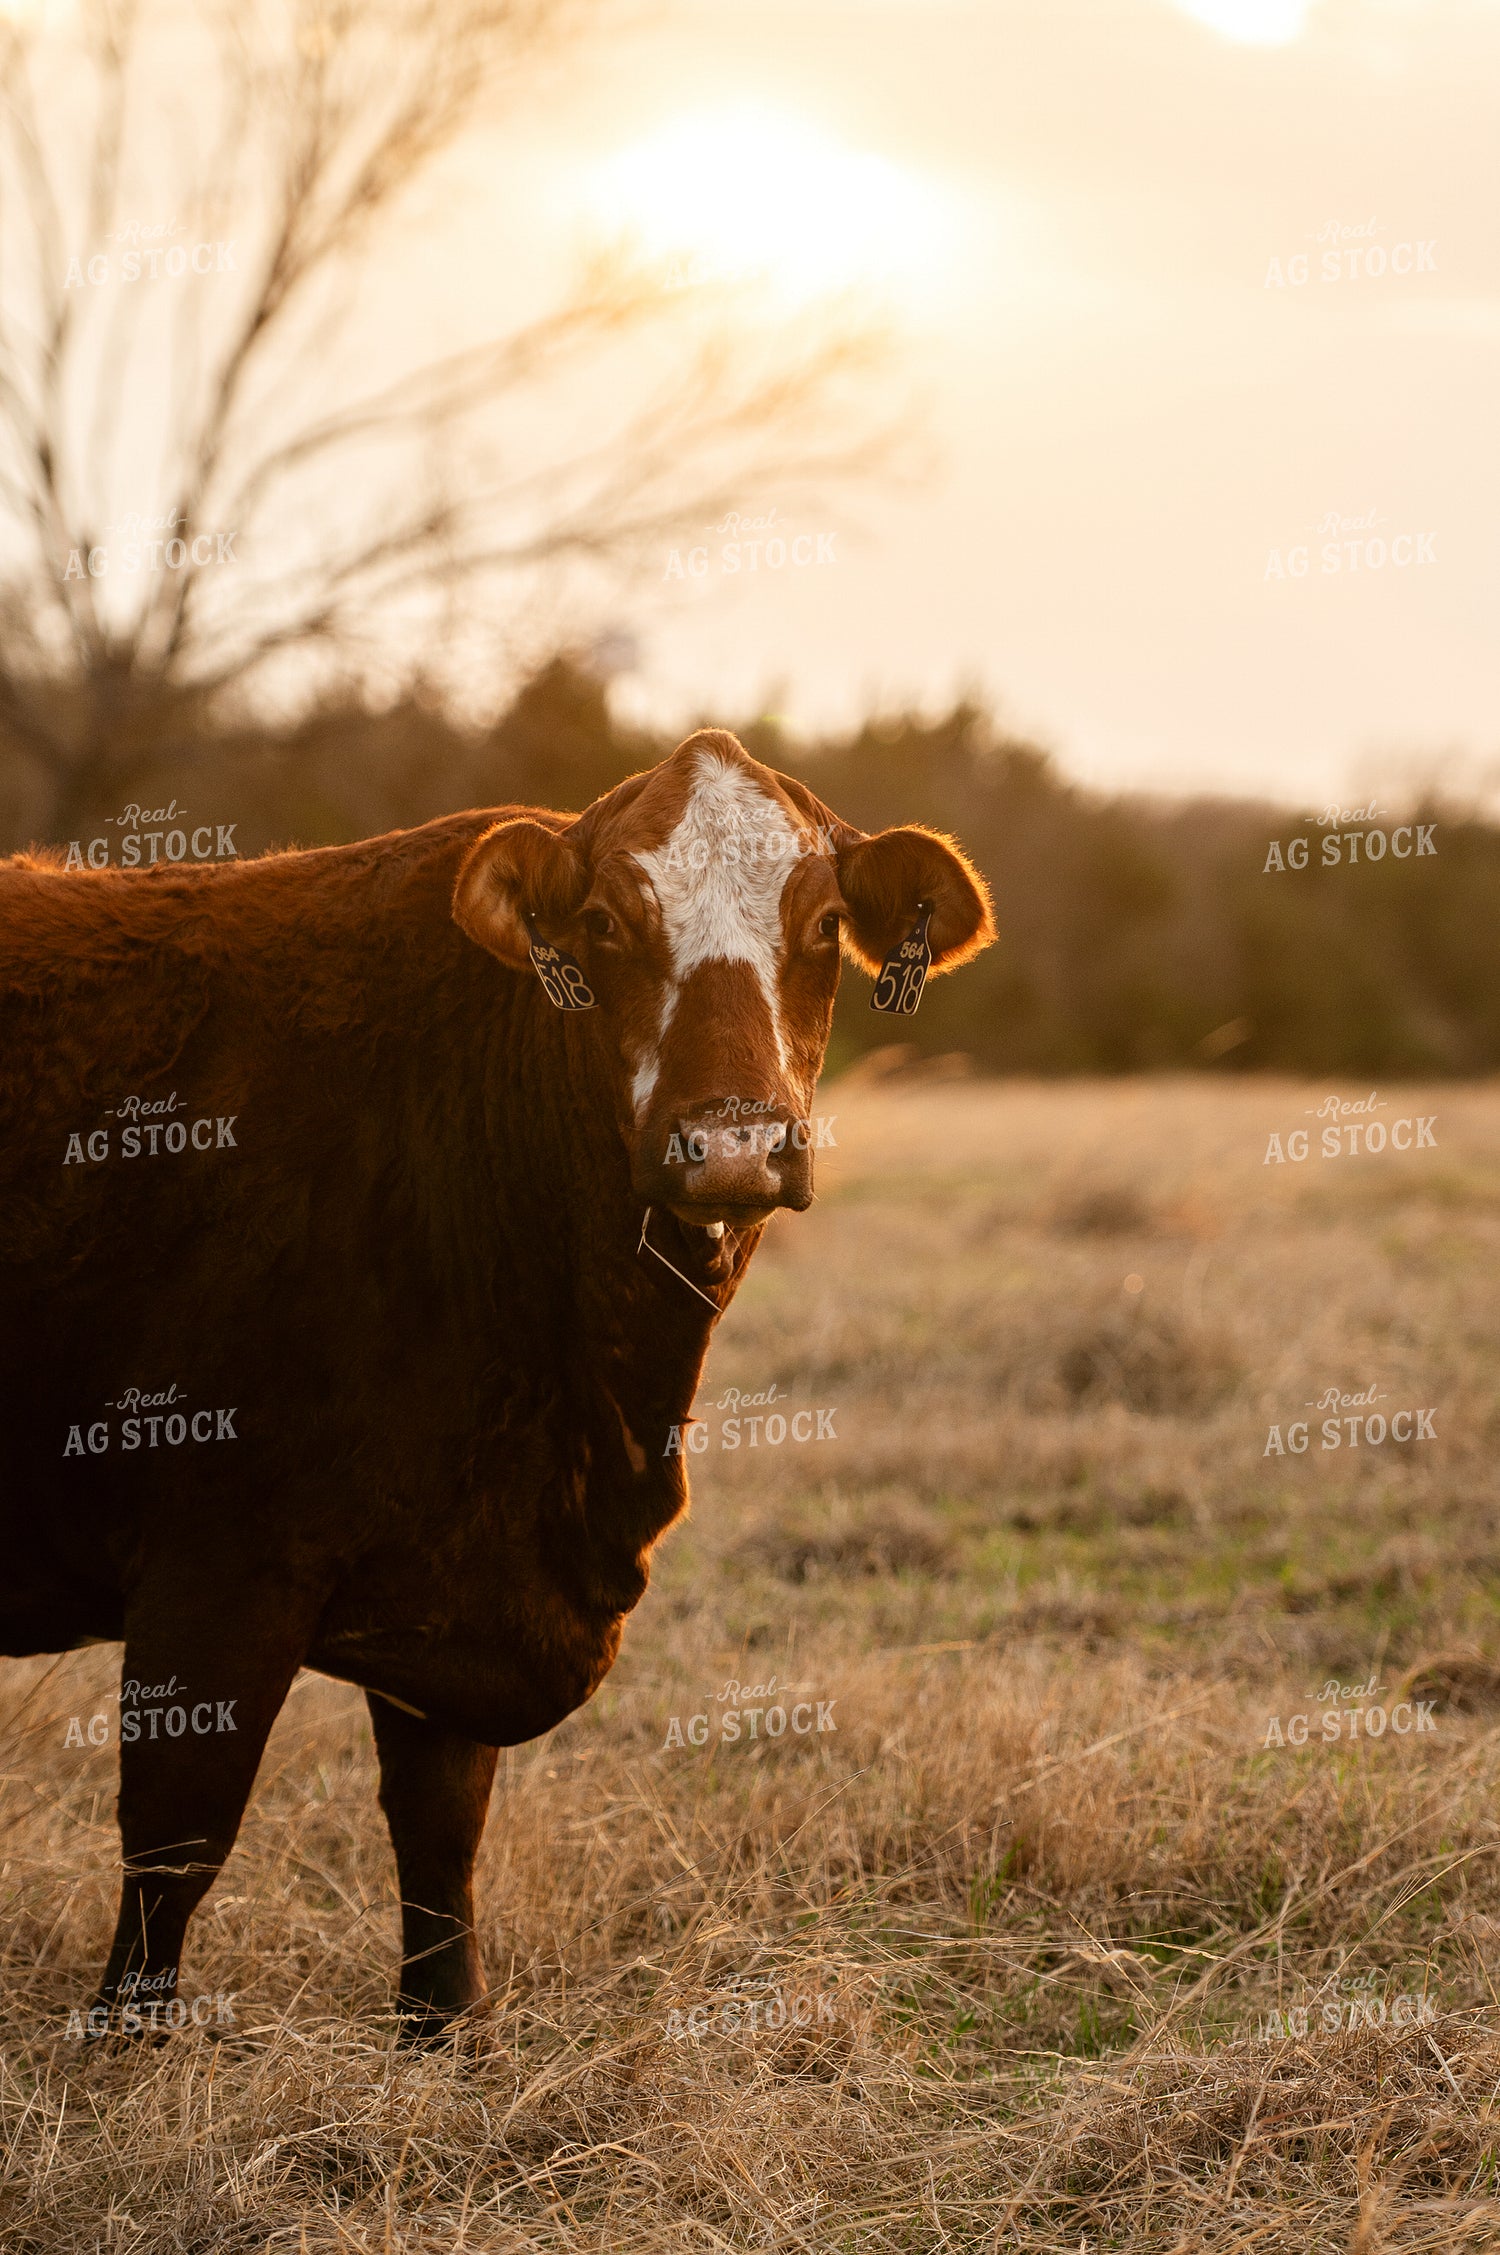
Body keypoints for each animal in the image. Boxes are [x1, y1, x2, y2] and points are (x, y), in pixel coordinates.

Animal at [0, 728, 993, 2038]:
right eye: (609, 921)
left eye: (826, 920)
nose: (732, 1141)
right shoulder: (215, 1564)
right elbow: (175, 1844)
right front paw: (128, 2053)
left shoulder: (453, 1599)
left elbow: (440, 1844)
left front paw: (443, 2033)